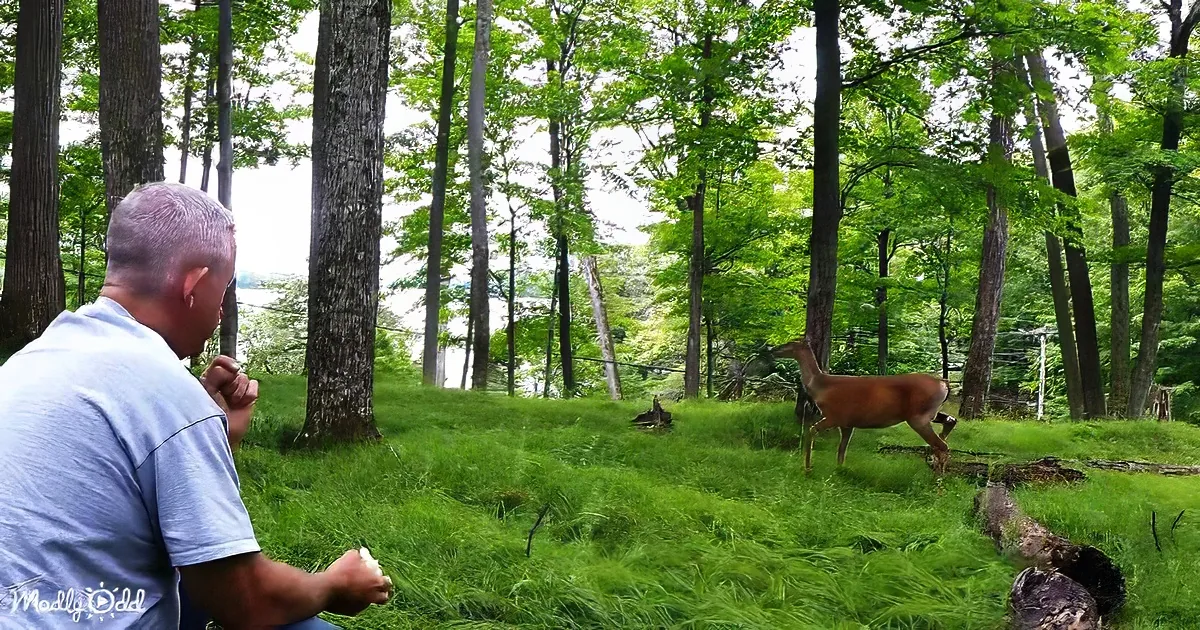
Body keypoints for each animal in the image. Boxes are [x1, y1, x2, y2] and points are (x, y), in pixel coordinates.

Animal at [772, 336, 958, 474]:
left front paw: (807, 467)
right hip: (930, 413)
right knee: (950, 422)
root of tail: (944, 383)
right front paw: (839, 470)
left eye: (790, 343)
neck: (820, 387)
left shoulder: (834, 415)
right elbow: (842, 449)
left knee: (941, 445)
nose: (772, 349)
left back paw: (937, 480)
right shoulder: (847, 423)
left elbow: (811, 430)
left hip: (918, 416)